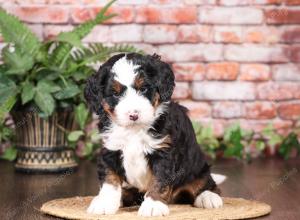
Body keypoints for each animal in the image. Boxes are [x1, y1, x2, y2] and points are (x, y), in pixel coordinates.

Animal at [84, 53, 225, 217]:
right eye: (115, 93)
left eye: (144, 88)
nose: (133, 115)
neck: (134, 130)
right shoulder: (110, 150)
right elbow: (109, 180)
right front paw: (104, 203)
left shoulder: (164, 153)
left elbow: (159, 181)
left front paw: (153, 205)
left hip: (197, 168)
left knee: (206, 183)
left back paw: (208, 197)